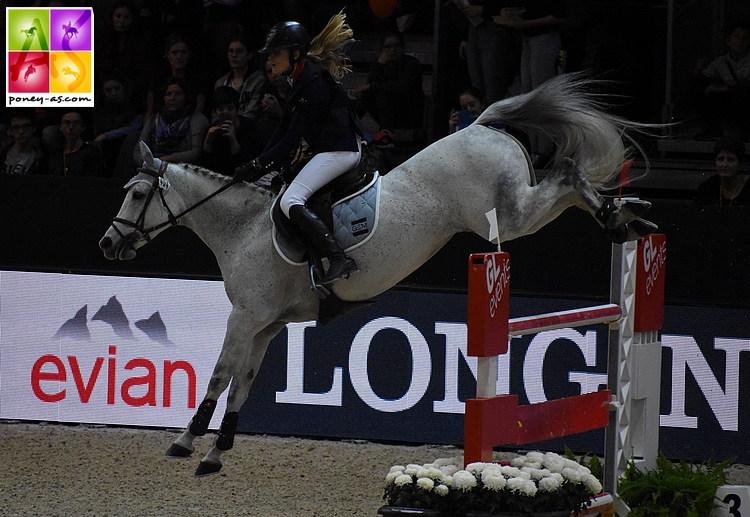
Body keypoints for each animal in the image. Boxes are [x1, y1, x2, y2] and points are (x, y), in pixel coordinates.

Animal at [98, 72, 656, 476]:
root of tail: (480, 125)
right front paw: (216, 453)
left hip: (509, 216)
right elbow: (242, 385)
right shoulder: (266, 325)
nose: (107, 244)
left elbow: (218, 375)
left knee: (566, 173)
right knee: (568, 179)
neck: (243, 227)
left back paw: (617, 214)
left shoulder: (245, 317)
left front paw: (186, 441)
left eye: (137, 193)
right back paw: (626, 217)